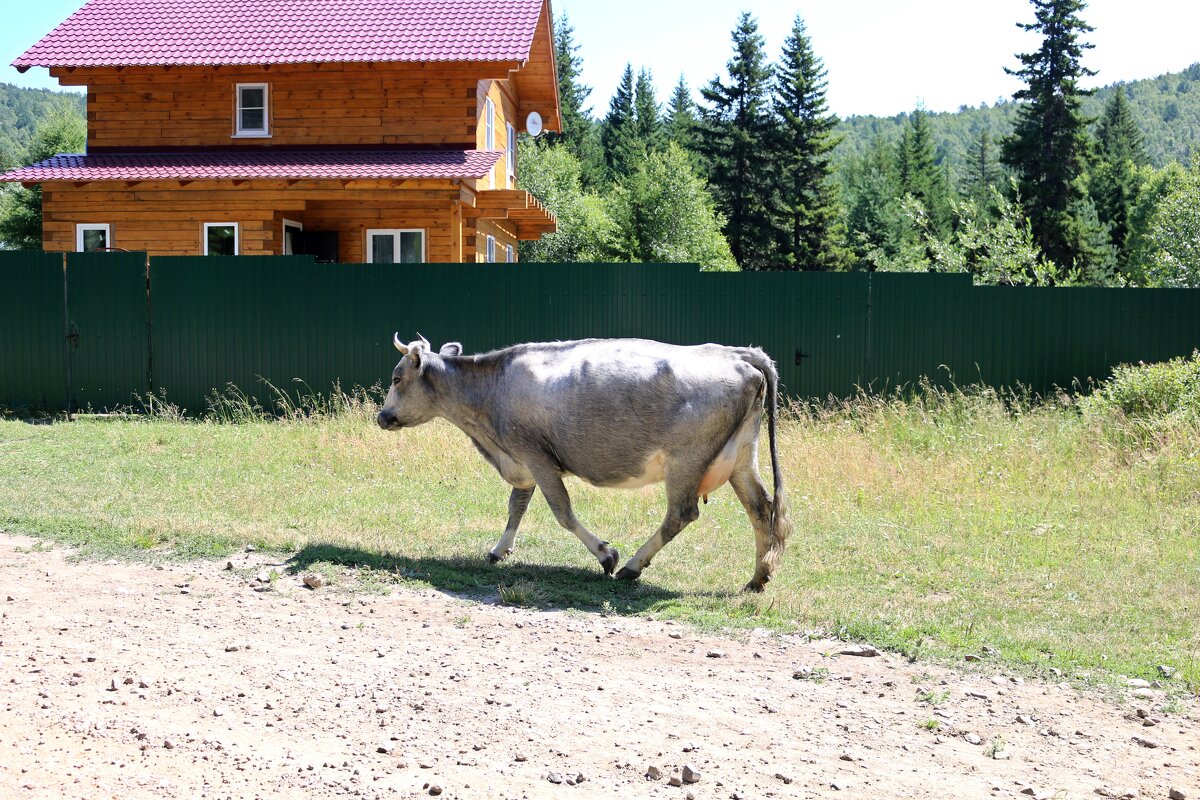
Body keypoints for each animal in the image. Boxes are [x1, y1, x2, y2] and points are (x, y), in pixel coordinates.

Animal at [374, 335, 787, 592]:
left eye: (396, 378)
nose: (382, 416)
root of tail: (738, 354)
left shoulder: (535, 455)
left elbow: (562, 511)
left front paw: (606, 555)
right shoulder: (522, 461)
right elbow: (516, 506)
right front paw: (498, 550)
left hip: (686, 460)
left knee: (681, 514)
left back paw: (631, 566)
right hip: (740, 457)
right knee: (761, 508)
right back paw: (758, 578)